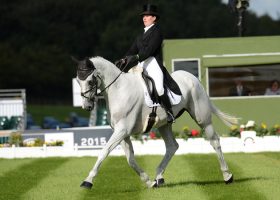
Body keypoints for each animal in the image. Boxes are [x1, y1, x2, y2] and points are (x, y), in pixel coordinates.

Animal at [72, 55, 238, 189]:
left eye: (90, 81)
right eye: (78, 81)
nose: (87, 106)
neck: (119, 90)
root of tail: (193, 78)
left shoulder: (122, 130)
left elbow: (104, 152)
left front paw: (88, 181)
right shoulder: (122, 133)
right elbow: (130, 159)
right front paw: (148, 181)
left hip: (202, 119)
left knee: (214, 141)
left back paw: (227, 176)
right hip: (164, 124)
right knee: (172, 146)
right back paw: (159, 177)